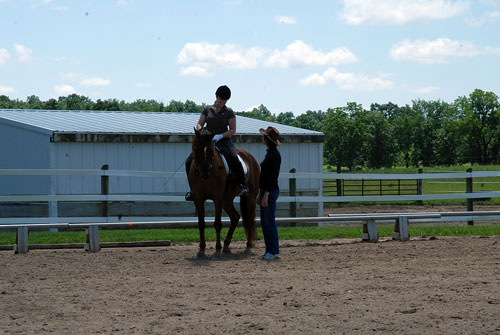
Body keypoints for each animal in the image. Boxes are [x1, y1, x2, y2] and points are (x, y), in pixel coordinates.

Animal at [187, 127, 260, 258]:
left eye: (211, 150)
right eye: (196, 148)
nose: (204, 174)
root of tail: (250, 156)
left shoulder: (217, 198)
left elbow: (217, 223)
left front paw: (217, 250)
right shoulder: (198, 198)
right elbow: (201, 223)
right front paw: (201, 250)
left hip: (250, 196)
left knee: (250, 219)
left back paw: (248, 246)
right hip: (227, 200)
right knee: (235, 217)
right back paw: (226, 245)